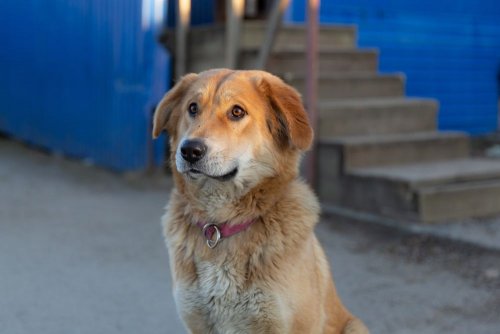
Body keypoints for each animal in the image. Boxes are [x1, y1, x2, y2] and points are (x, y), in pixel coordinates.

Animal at [152, 69, 368, 332]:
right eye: (192, 108)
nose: (190, 150)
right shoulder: (197, 321)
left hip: (356, 326)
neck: (221, 226)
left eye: (237, 112)